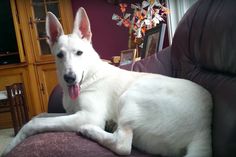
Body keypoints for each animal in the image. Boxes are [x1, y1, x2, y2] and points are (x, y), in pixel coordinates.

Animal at [1, 7, 212, 157]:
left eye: (79, 53)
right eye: (59, 55)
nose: (70, 78)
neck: (88, 76)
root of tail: (204, 130)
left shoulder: (88, 115)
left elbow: (34, 123)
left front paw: (11, 145)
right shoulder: (68, 112)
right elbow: (38, 117)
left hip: (131, 95)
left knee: (123, 146)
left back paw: (90, 131)